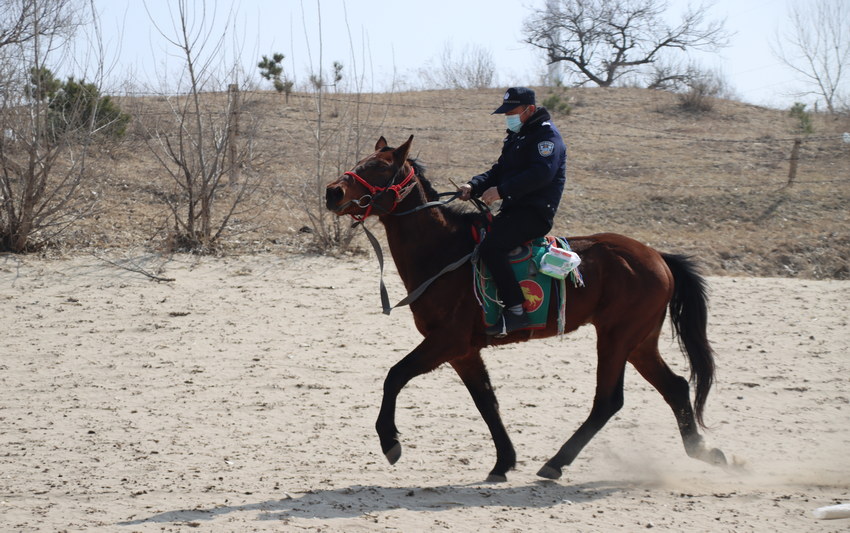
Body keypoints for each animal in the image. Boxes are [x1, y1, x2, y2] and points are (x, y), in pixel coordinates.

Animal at [322, 135, 724, 480]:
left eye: (379, 166)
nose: (332, 191)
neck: (445, 252)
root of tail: (657, 256)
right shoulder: (463, 351)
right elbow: (486, 402)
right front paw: (504, 461)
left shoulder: (447, 341)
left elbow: (395, 375)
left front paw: (389, 441)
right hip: (639, 342)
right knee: (675, 387)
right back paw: (702, 451)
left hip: (616, 338)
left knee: (608, 401)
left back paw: (556, 463)